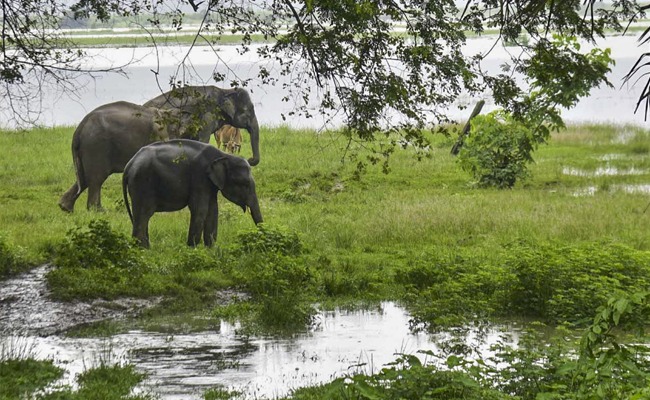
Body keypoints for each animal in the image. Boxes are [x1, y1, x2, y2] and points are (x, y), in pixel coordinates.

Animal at [58, 101, 200, 212]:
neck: (164, 112)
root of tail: (79, 129)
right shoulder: (158, 134)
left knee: (84, 178)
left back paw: (65, 207)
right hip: (96, 145)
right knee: (96, 178)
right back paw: (99, 211)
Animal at [121, 140, 264, 247]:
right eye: (245, 184)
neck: (224, 155)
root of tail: (129, 165)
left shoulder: (210, 184)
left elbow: (213, 209)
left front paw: (210, 249)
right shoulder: (199, 177)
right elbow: (199, 209)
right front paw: (192, 248)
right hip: (142, 183)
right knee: (144, 215)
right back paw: (143, 250)